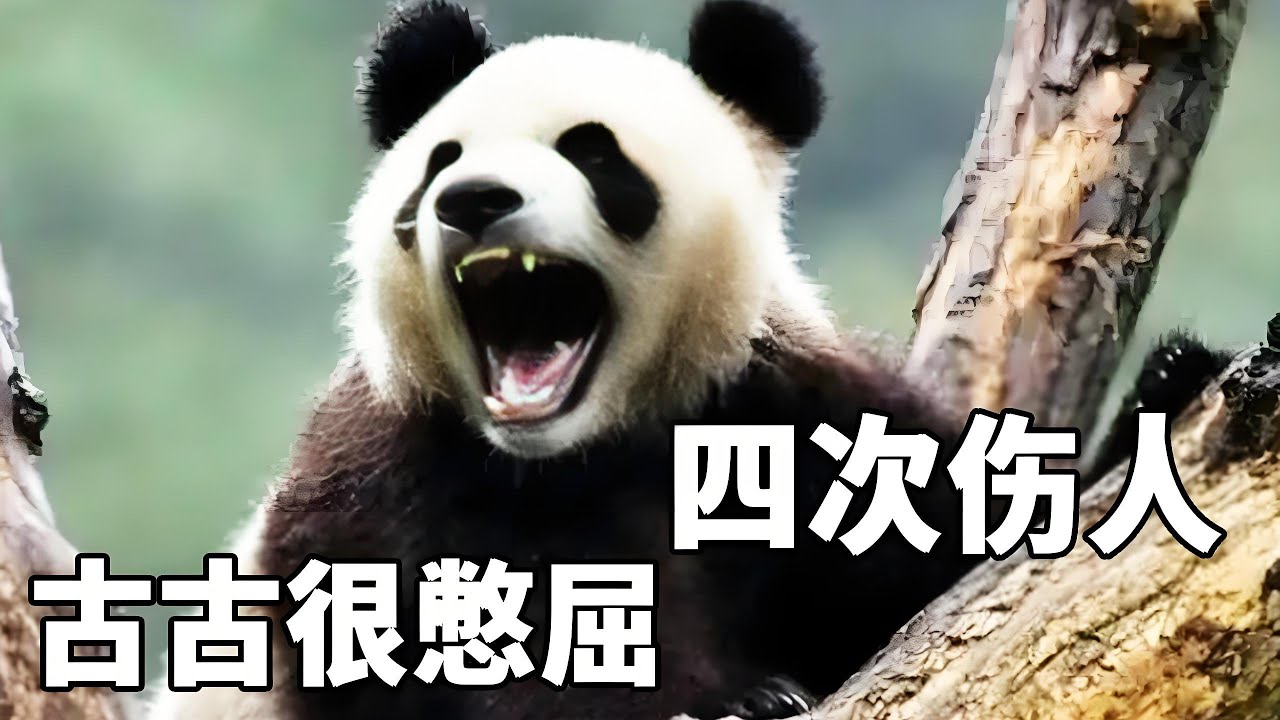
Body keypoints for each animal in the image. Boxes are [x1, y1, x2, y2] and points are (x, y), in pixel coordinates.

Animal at [145, 2, 1228, 719]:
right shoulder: (389, 471)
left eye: (593, 154)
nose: (473, 199)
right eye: (440, 160)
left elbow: (941, 566)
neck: (580, 448)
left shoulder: (790, 417)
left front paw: (1171, 387)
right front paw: (724, 705)